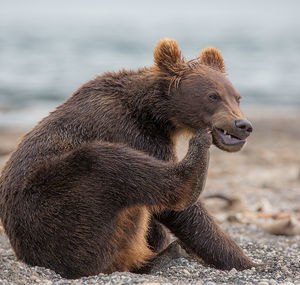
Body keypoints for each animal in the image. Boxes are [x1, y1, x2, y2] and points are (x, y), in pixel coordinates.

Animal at [0, 37, 255, 278]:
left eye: (237, 97)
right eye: (213, 96)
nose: (243, 125)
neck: (154, 115)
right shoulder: (135, 135)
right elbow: (181, 212)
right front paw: (246, 261)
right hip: (56, 207)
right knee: (107, 164)